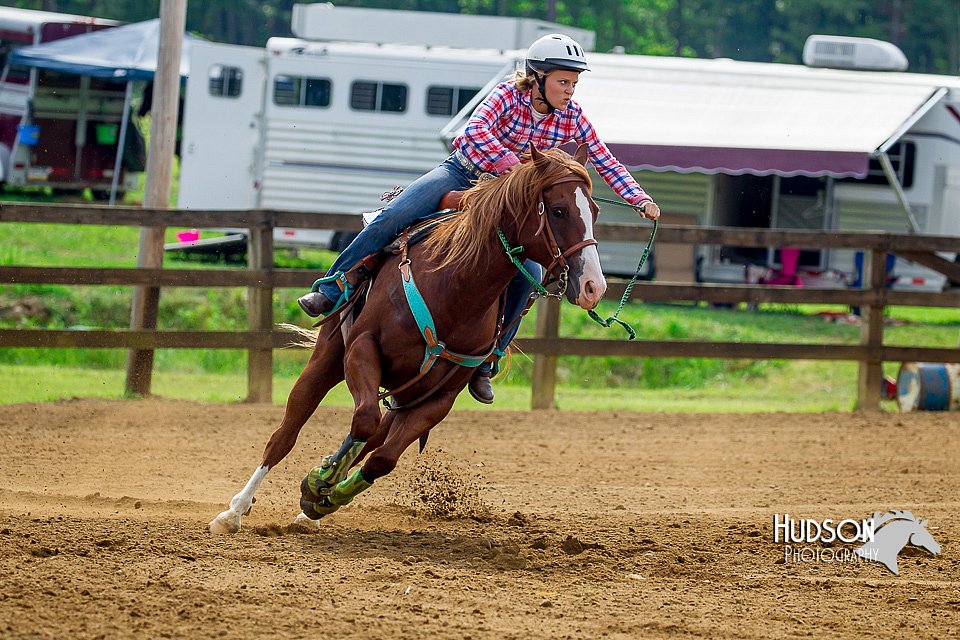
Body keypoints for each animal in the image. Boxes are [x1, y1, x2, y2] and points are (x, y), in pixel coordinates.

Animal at [208, 145, 608, 536]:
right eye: (558, 210)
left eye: (595, 211)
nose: (593, 286)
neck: (455, 287)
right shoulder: (362, 348)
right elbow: (363, 421)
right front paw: (321, 480)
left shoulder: (438, 398)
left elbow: (382, 457)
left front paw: (323, 495)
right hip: (329, 357)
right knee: (288, 431)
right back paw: (233, 513)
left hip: (406, 392)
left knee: (374, 438)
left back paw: (313, 504)